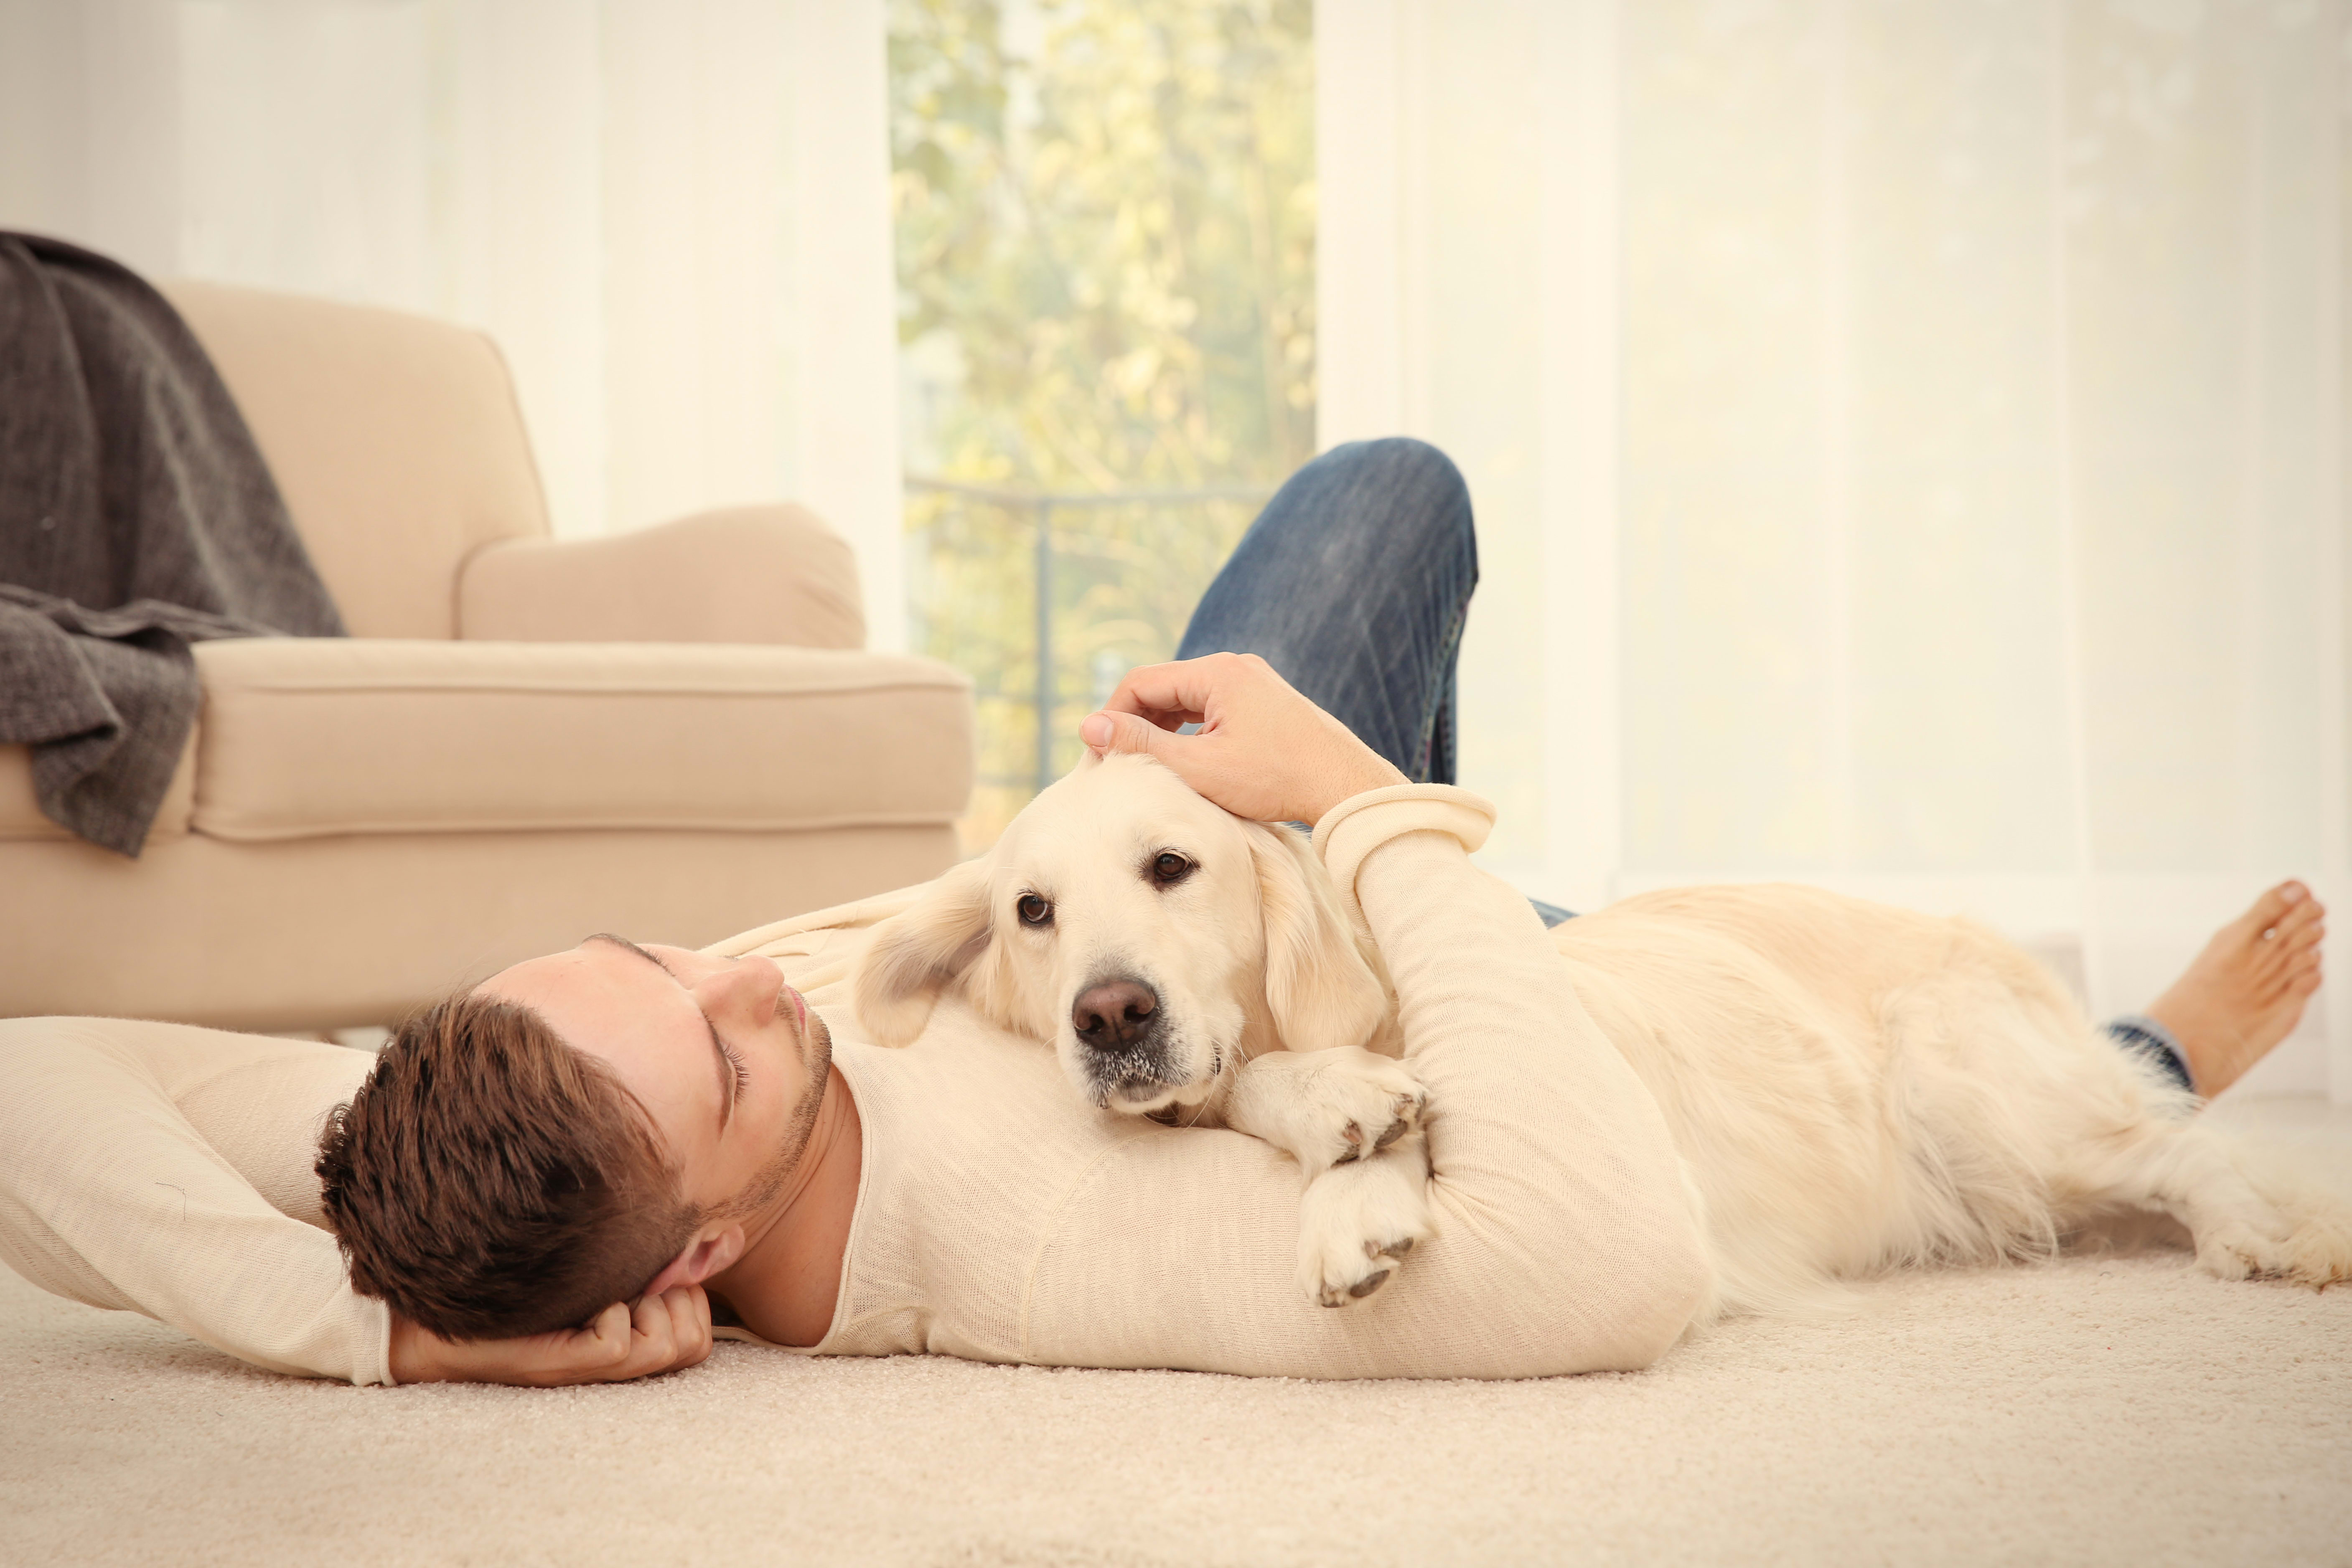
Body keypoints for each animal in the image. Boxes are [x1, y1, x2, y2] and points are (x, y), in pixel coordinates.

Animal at [856, 752, 2342, 1316]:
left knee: (2179, 1150)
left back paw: (2253, 1233)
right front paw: (1345, 1127)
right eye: (1032, 913)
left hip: (1975, 1105)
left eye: (1172, 867)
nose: (1110, 1015)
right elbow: (1282, 1087)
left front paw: (1357, 1162)